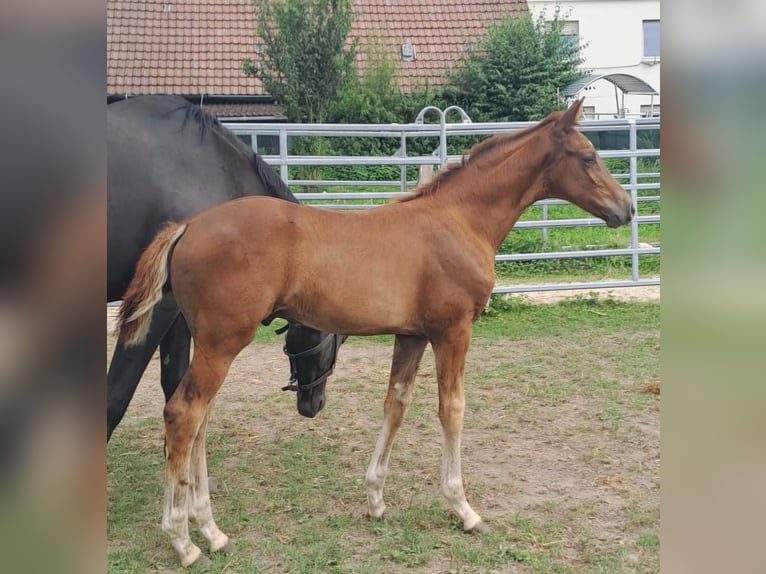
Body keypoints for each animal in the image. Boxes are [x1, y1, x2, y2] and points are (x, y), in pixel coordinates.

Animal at [115, 101, 636, 568]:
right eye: (588, 156)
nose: (627, 209)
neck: (458, 219)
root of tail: (186, 227)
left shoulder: (412, 336)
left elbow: (396, 403)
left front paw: (376, 499)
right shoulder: (453, 331)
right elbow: (452, 409)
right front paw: (463, 508)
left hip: (210, 341)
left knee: (198, 418)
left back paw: (211, 531)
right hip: (223, 342)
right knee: (184, 414)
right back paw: (183, 541)